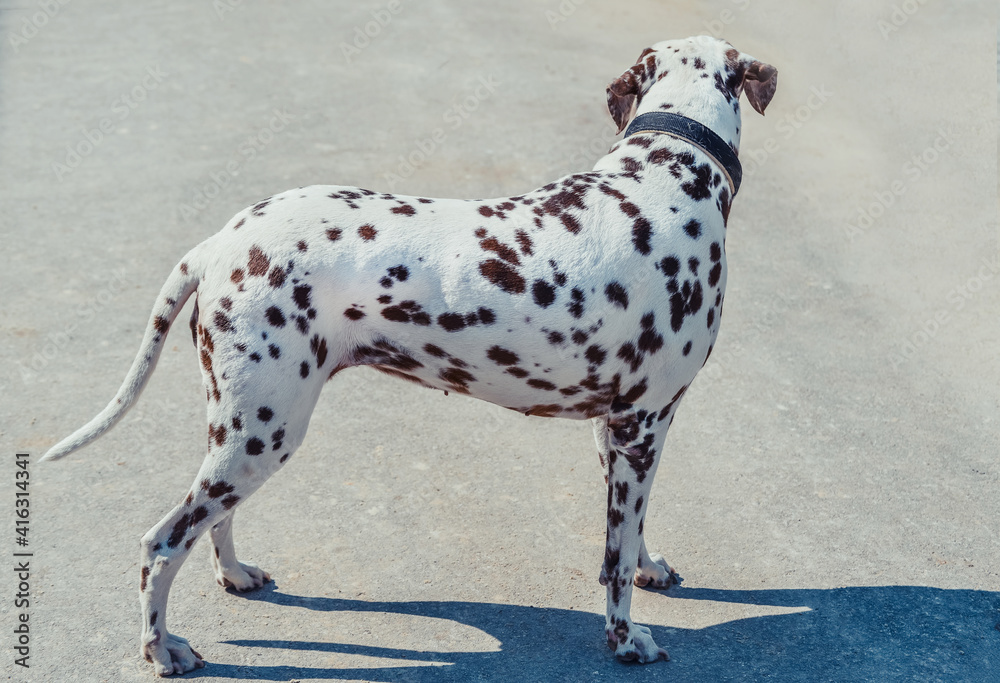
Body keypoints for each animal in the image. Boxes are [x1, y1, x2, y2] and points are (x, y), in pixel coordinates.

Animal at [43, 36, 776, 672]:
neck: (665, 176)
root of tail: (221, 240)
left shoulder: (621, 429)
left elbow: (629, 535)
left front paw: (649, 568)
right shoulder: (642, 425)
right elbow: (614, 563)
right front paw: (625, 640)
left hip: (240, 430)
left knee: (210, 521)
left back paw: (234, 575)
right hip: (262, 434)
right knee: (163, 541)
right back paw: (162, 649)